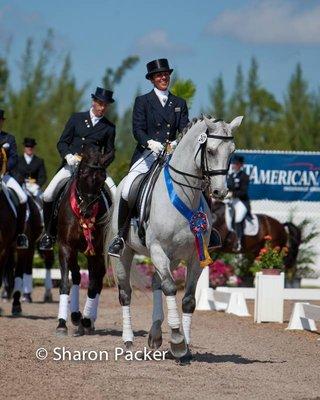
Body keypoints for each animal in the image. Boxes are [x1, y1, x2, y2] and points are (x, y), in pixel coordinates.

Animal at [56, 145, 114, 336]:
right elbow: (65, 283)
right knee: (75, 276)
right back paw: (75, 316)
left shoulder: (97, 251)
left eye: (103, 178)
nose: (87, 211)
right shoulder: (65, 247)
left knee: (98, 280)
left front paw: (87, 319)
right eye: (82, 174)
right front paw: (62, 324)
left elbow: (93, 286)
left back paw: (88, 320)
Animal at [108, 114, 242, 358]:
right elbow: (170, 288)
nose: (219, 192)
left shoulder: (195, 257)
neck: (184, 194)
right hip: (124, 255)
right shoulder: (158, 249)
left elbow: (188, 299)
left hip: (173, 258)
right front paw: (178, 340)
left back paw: (155, 335)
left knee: (156, 282)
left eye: (232, 151)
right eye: (210, 151)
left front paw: (185, 345)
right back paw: (129, 341)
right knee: (126, 294)